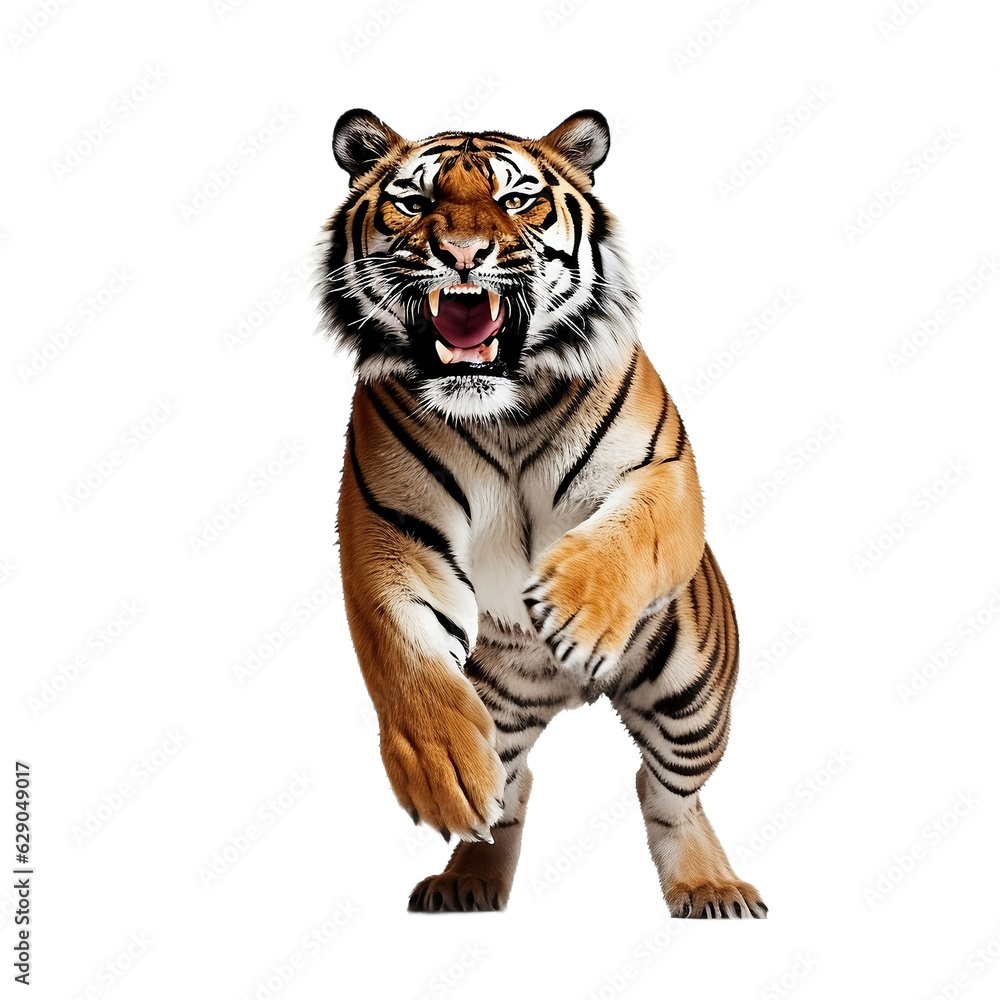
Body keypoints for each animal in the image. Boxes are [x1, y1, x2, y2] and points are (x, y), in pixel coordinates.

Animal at [318, 108, 767, 918]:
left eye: (518, 199)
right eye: (413, 201)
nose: (463, 254)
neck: (502, 411)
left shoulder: (663, 474)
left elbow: (632, 533)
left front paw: (577, 614)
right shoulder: (389, 526)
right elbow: (404, 653)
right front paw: (441, 771)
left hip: (694, 698)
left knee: (665, 791)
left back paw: (709, 885)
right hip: (499, 702)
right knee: (515, 784)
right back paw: (467, 877)